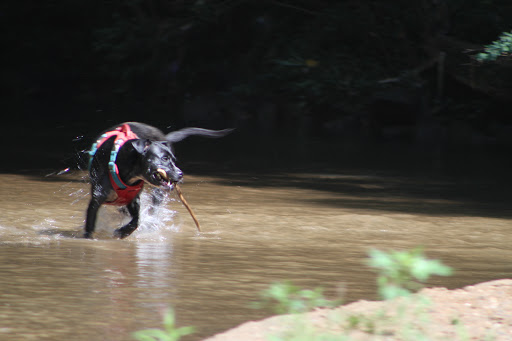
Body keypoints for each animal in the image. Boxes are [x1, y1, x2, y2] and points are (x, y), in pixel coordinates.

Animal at [84, 122, 232, 239]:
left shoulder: (133, 199)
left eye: (173, 159)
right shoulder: (97, 199)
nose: (181, 174)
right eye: (164, 158)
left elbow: (136, 220)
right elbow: (90, 225)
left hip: (158, 193)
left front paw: (123, 232)